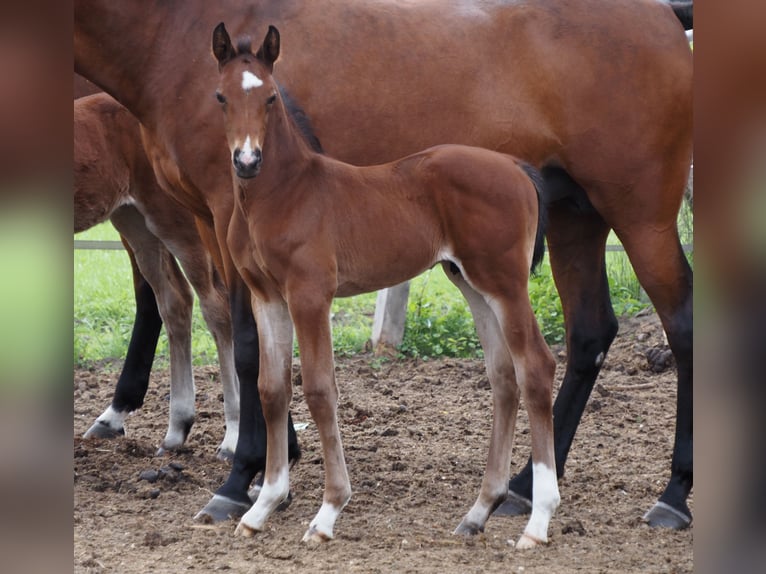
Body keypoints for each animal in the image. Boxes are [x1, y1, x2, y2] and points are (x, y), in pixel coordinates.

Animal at [74, 92, 240, 459]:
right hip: (135, 221)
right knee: (174, 302)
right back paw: (176, 429)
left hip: (176, 222)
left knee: (216, 306)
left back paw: (233, 437)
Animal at [212, 24, 558, 545]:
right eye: (221, 97)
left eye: (271, 96)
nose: (248, 160)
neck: (284, 193)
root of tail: (516, 167)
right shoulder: (266, 297)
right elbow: (272, 390)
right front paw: (262, 507)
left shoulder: (310, 295)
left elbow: (320, 389)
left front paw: (328, 512)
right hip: (471, 283)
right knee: (503, 376)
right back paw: (478, 511)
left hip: (506, 283)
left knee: (536, 367)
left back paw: (538, 522)